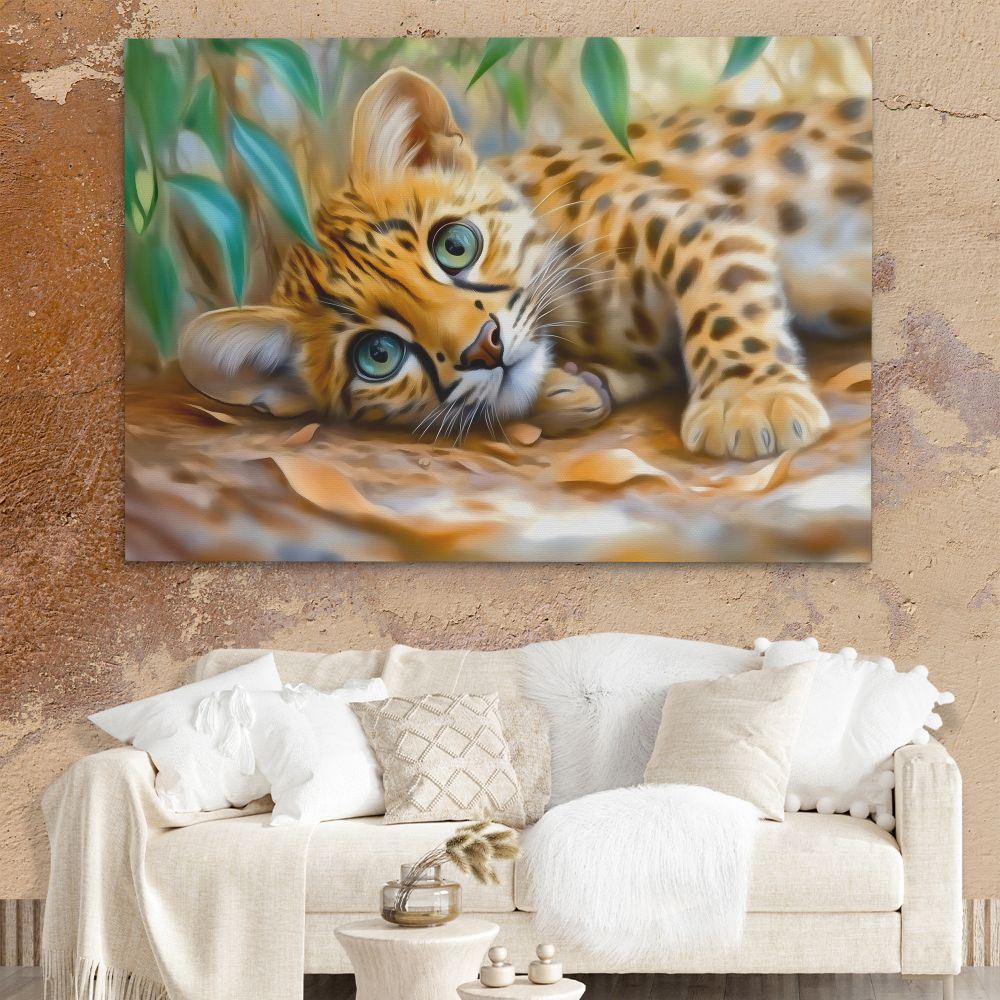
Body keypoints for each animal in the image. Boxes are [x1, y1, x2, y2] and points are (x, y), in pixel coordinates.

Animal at [179, 67, 871, 460]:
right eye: (378, 355)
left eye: (455, 246)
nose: (482, 348)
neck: (579, 316)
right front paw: (570, 389)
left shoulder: (702, 224)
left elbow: (723, 297)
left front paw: (750, 402)